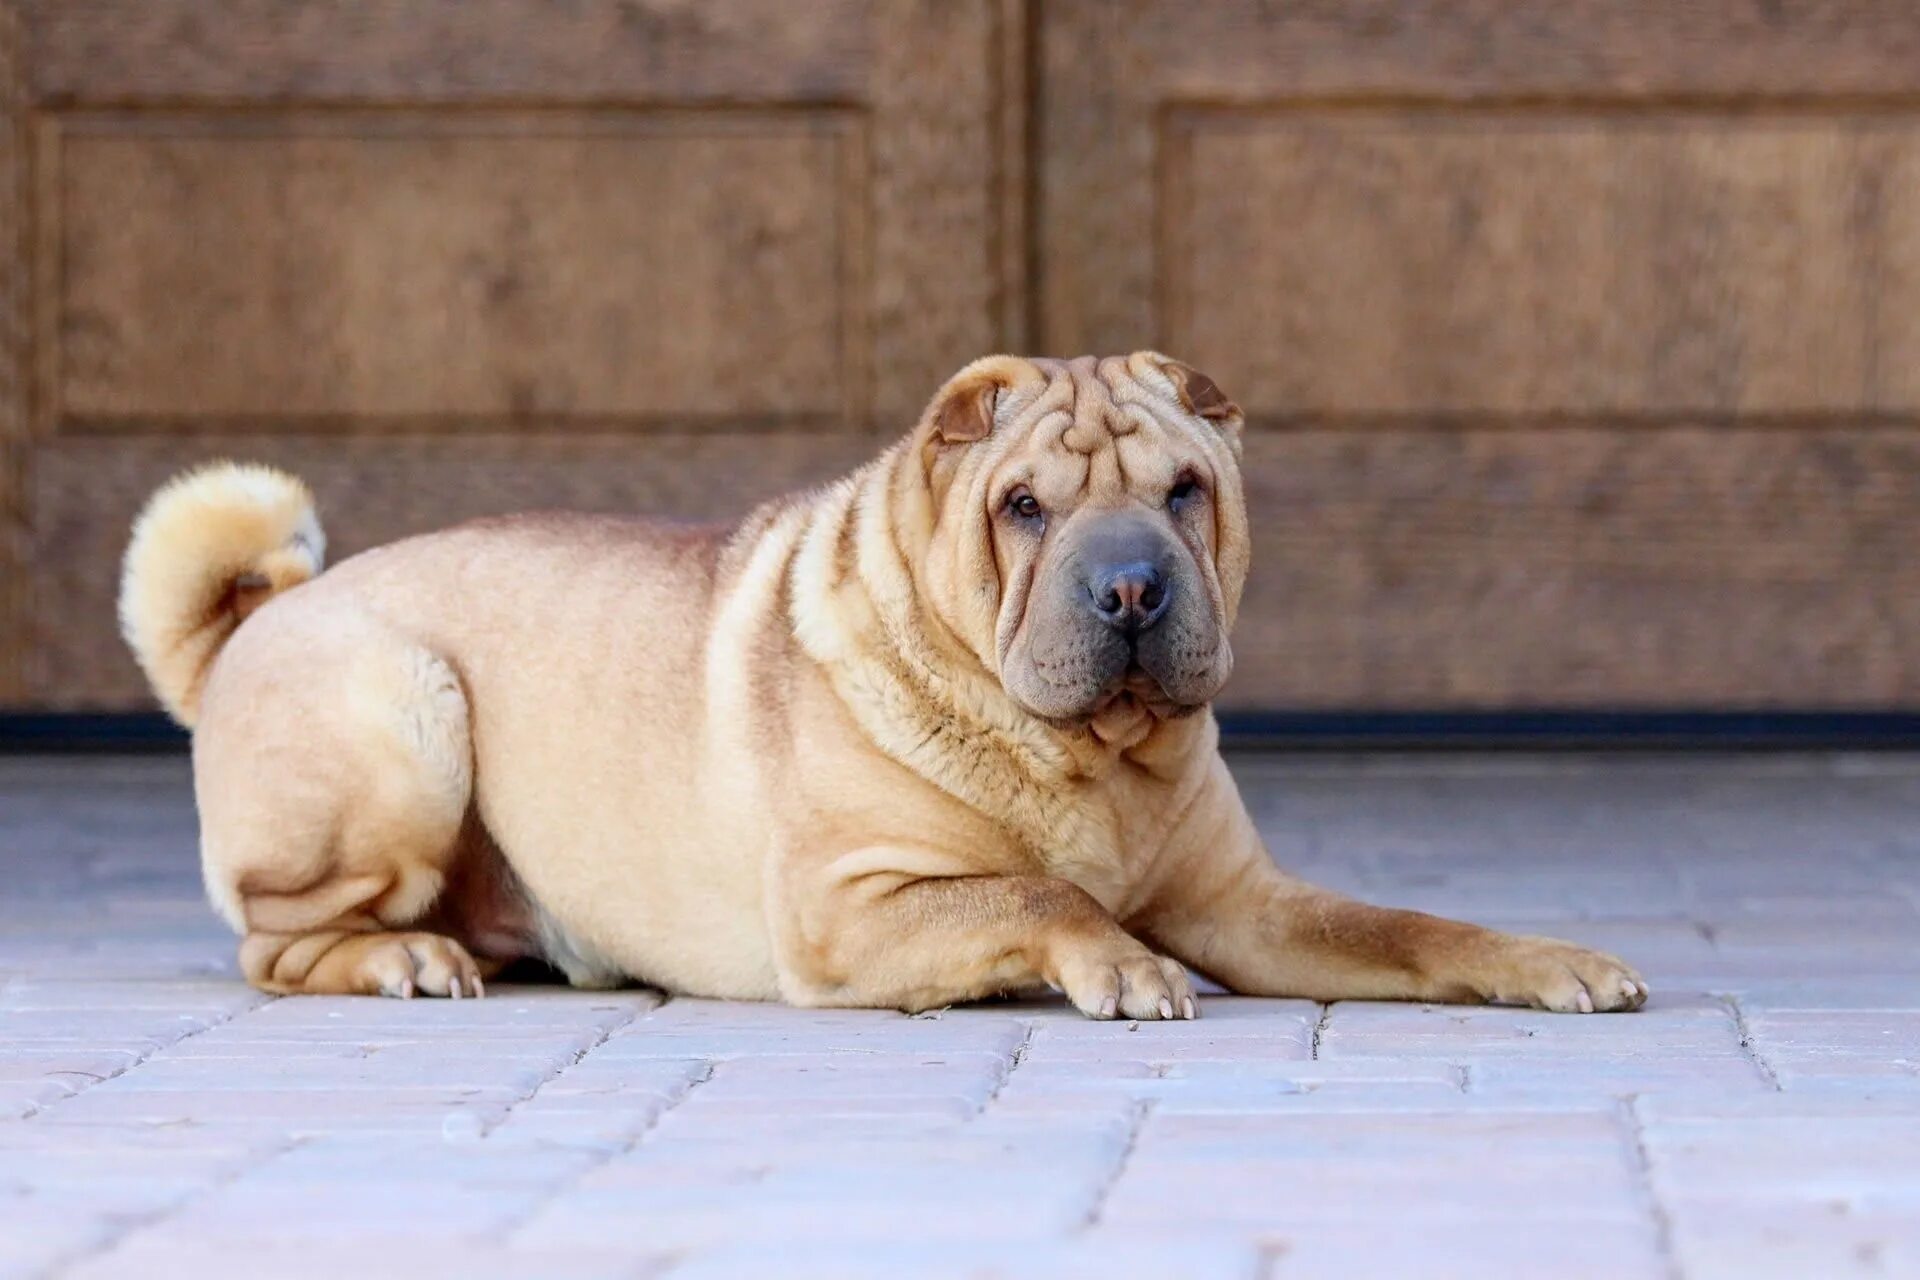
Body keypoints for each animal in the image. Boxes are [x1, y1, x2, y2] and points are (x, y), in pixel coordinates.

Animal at [120, 355, 1651, 1013]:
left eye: (1185, 491)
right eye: (1025, 509)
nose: (1132, 586)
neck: (1087, 760)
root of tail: (264, 618)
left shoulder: (1248, 904)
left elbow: (1405, 924)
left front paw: (1550, 959)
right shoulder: (852, 908)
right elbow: (1027, 893)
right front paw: (1119, 961)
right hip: (405, 715)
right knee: (280, 943)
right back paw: (406, 959)